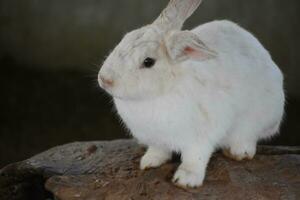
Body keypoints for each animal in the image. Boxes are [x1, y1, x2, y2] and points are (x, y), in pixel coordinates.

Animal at [98, 0, 284, 188]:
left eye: (148, 62)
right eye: (124, 38)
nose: (105, 79)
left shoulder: (201, 138)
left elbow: (195, 158)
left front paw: (185, 180)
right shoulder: (157, 140)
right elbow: (159, 151)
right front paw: (149, 162)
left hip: (257, 118)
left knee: (249, 135)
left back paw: (239, 152)